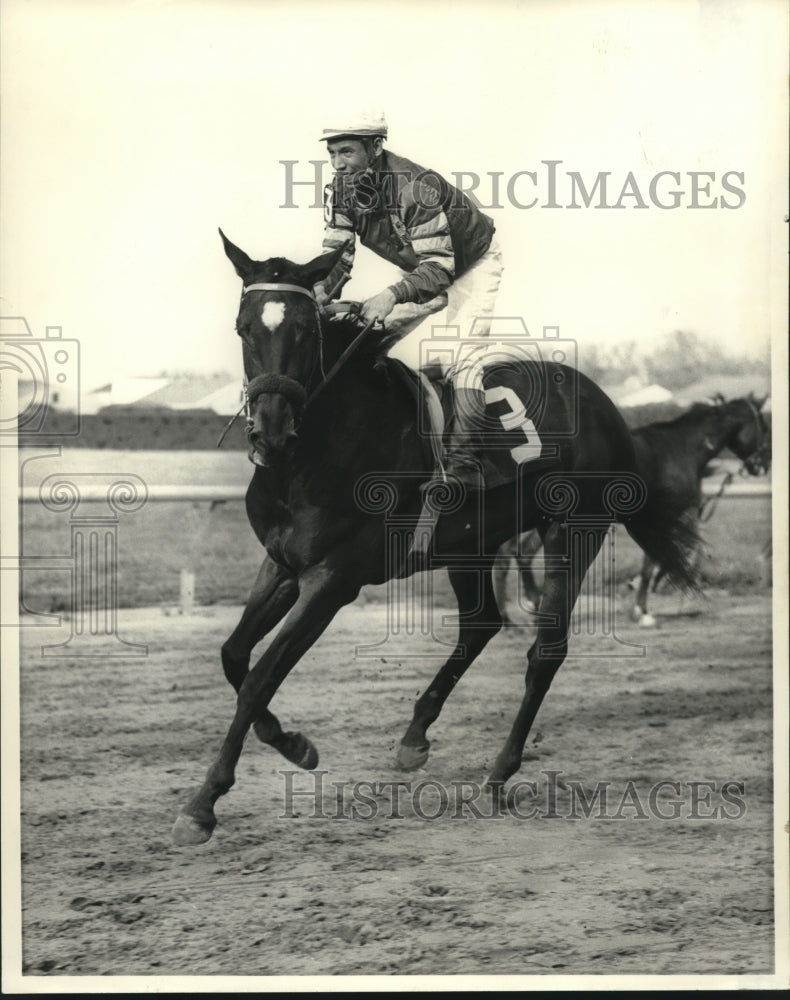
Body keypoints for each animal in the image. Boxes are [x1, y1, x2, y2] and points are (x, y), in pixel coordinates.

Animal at [172, 234, 700, 844]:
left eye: (305, 330)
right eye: (243, 328)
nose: (271, 431)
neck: (313, 457)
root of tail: (607, 406)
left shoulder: (333, 579)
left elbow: (260, 676)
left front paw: (204, 803)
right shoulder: (282, 564)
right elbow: (233, 656)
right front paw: (294, 744)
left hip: (575, 530)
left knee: (545, 650)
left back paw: (497, 775)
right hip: (471, 544)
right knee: (481, 625)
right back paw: (414, 737)